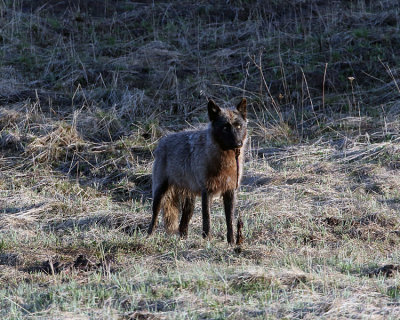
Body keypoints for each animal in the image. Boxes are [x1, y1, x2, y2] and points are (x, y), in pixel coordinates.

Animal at [147, 97, 247, 242]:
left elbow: (230, 222)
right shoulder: (207, 191)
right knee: (154, 218)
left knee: (183, 226)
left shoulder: (229, 191)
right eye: (225, 127)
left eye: (239, 126)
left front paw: (232, 242)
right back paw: (149, 236)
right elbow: (207, 219)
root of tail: (163, 141)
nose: (238, 144)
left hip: (190, 203)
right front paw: (207, 241)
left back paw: (183, 241)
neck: (224, 163)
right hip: (160, 193)